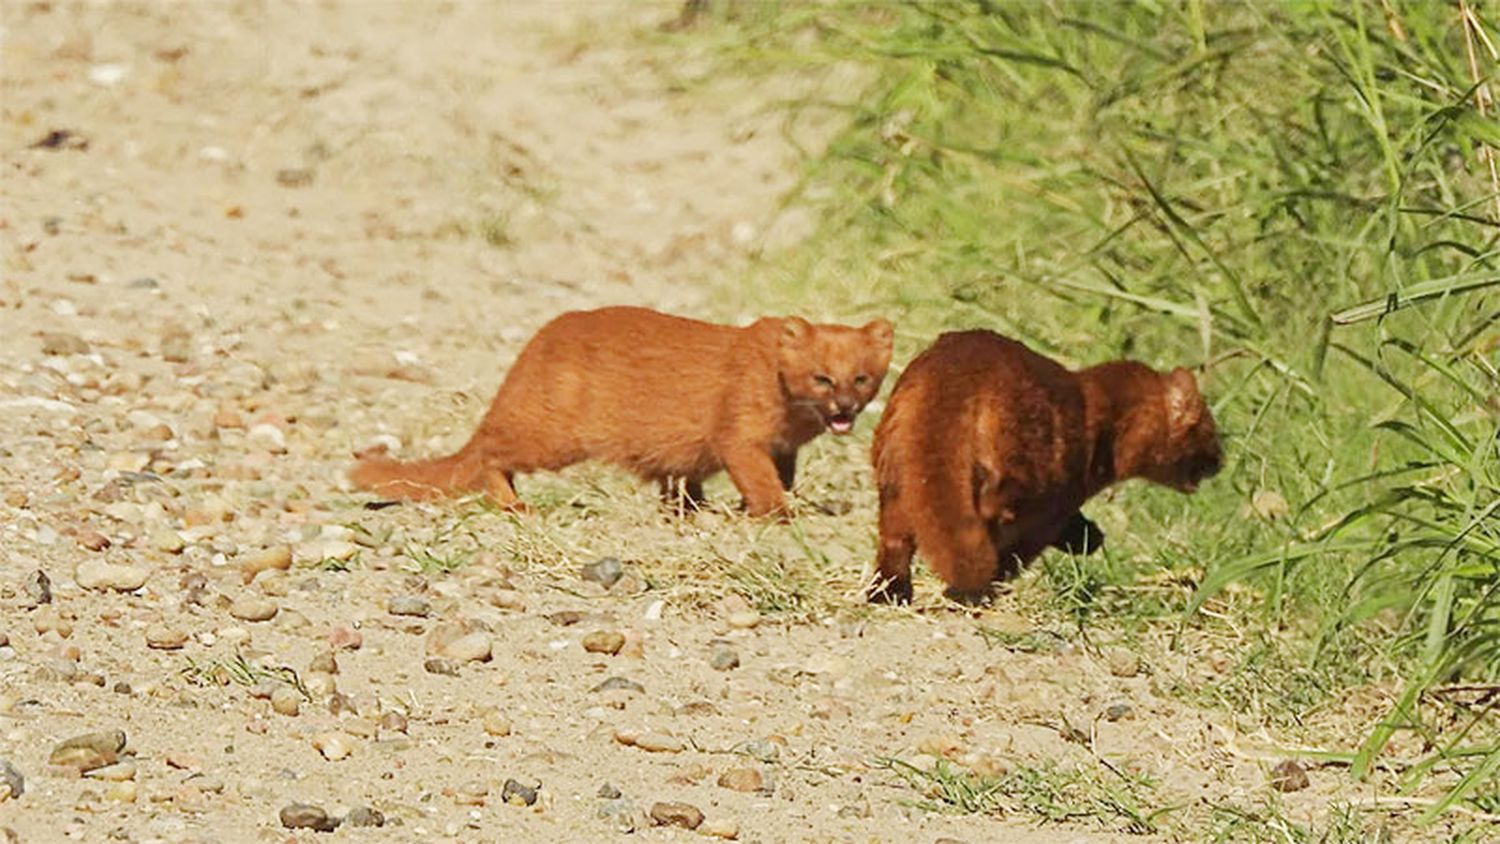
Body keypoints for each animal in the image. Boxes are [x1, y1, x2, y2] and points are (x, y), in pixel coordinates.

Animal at [351, 304, 888, 515]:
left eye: (862, 378)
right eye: (822, 377)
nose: (844, 407)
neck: (792, 421)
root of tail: (537, 346)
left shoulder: (784, 448)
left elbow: (779, 478)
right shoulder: (739, 430)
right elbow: (758, 480)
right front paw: (774, 514)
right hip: (553, 436)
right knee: (489, 455)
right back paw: (516, 504)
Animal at [870, 328, 1218, 599]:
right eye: (1211, 432)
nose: (1220, 461)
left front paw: (1089, 536)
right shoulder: (1058, 499)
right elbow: (1026, 545)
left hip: (894, 466)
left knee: (894, 536)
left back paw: (890, 592)